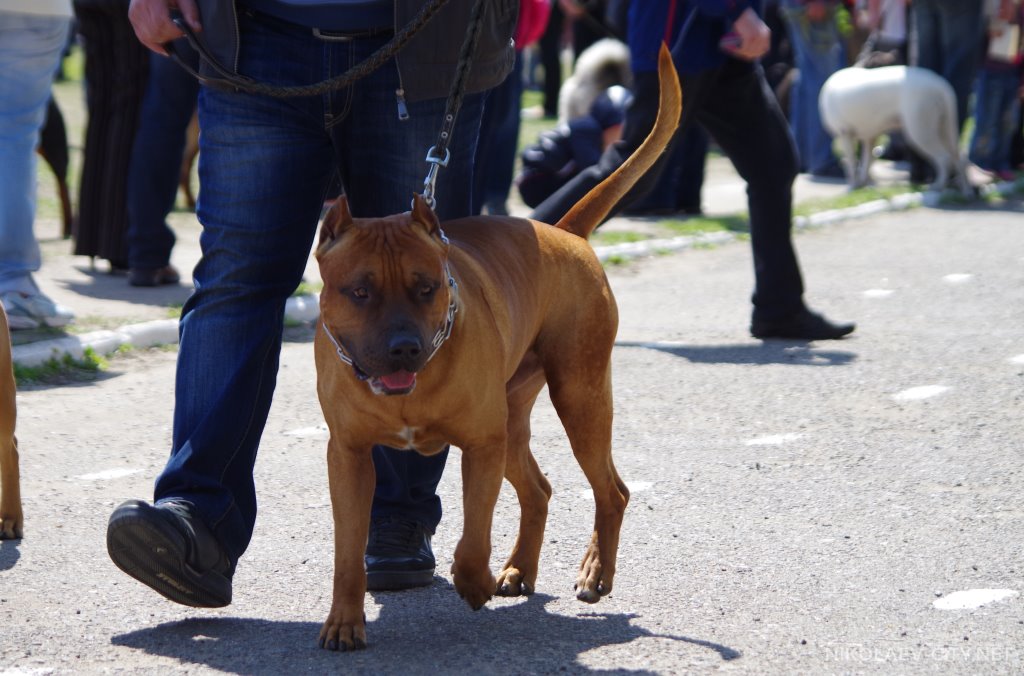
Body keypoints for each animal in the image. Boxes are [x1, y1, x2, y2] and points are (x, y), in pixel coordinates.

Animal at [312, 44, 680, 651]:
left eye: (426, 287)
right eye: (359, 292)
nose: (404, 348)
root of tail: (565, 233)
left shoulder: (481, 445)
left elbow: (471, 539)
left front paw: (474, 580)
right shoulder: (348, 457)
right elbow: (347, 552)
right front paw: (344, 621)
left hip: (578, 400)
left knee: (611, 490)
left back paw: (593, 573)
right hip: (515, 418)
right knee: (540, 490)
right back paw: (519, 568)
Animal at [819, 65, 971, 196]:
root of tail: (941, 86)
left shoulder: (845, 134)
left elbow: (852, 163)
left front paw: (852, 187)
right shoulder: (870, 138)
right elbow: (867, 162)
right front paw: (863, 185)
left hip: (920, 131)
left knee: (944, 158)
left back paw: (938, 186)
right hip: (945, 129)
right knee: (960, 158)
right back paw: (965, 191)